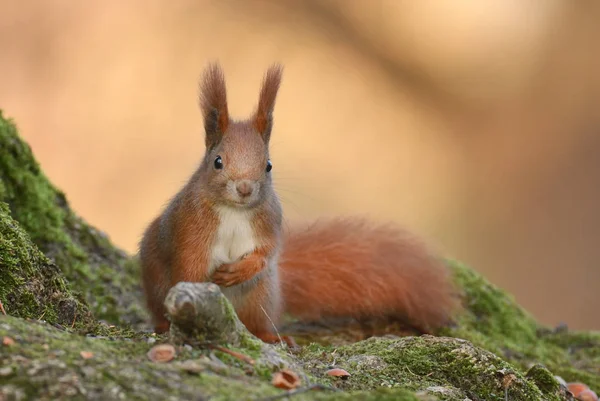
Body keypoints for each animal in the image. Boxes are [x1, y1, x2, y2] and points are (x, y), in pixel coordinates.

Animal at [141, 61, 460, 344]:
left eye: (268, 166)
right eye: (218, 162)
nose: (245, 188)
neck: (234, 211)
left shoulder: (269, 222)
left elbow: (267, 251)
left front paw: (243, 268)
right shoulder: (190, 227)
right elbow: (189, 264)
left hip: (259, 297)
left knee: (256, 324)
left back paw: (271, 336)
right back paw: (163, 325)